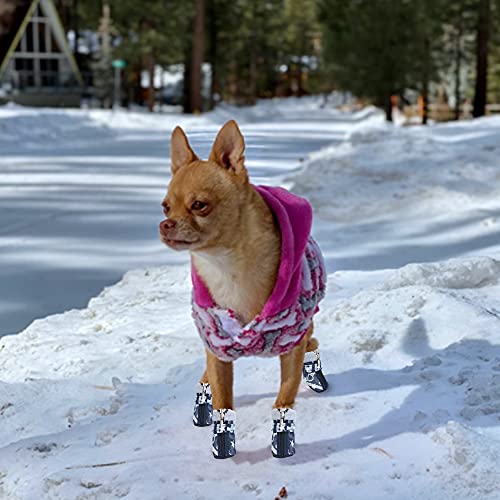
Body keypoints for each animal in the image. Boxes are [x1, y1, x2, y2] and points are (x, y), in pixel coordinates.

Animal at [158, 120, 326, 458]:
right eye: (165, 207)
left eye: (199, 205)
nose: (165, 224)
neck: (228, 268)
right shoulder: (217, 346)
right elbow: (224, 401)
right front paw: (222, 442)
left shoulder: (291, 342)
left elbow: (284, 397)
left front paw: (283, 439)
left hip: (305, 326)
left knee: (312, 342)